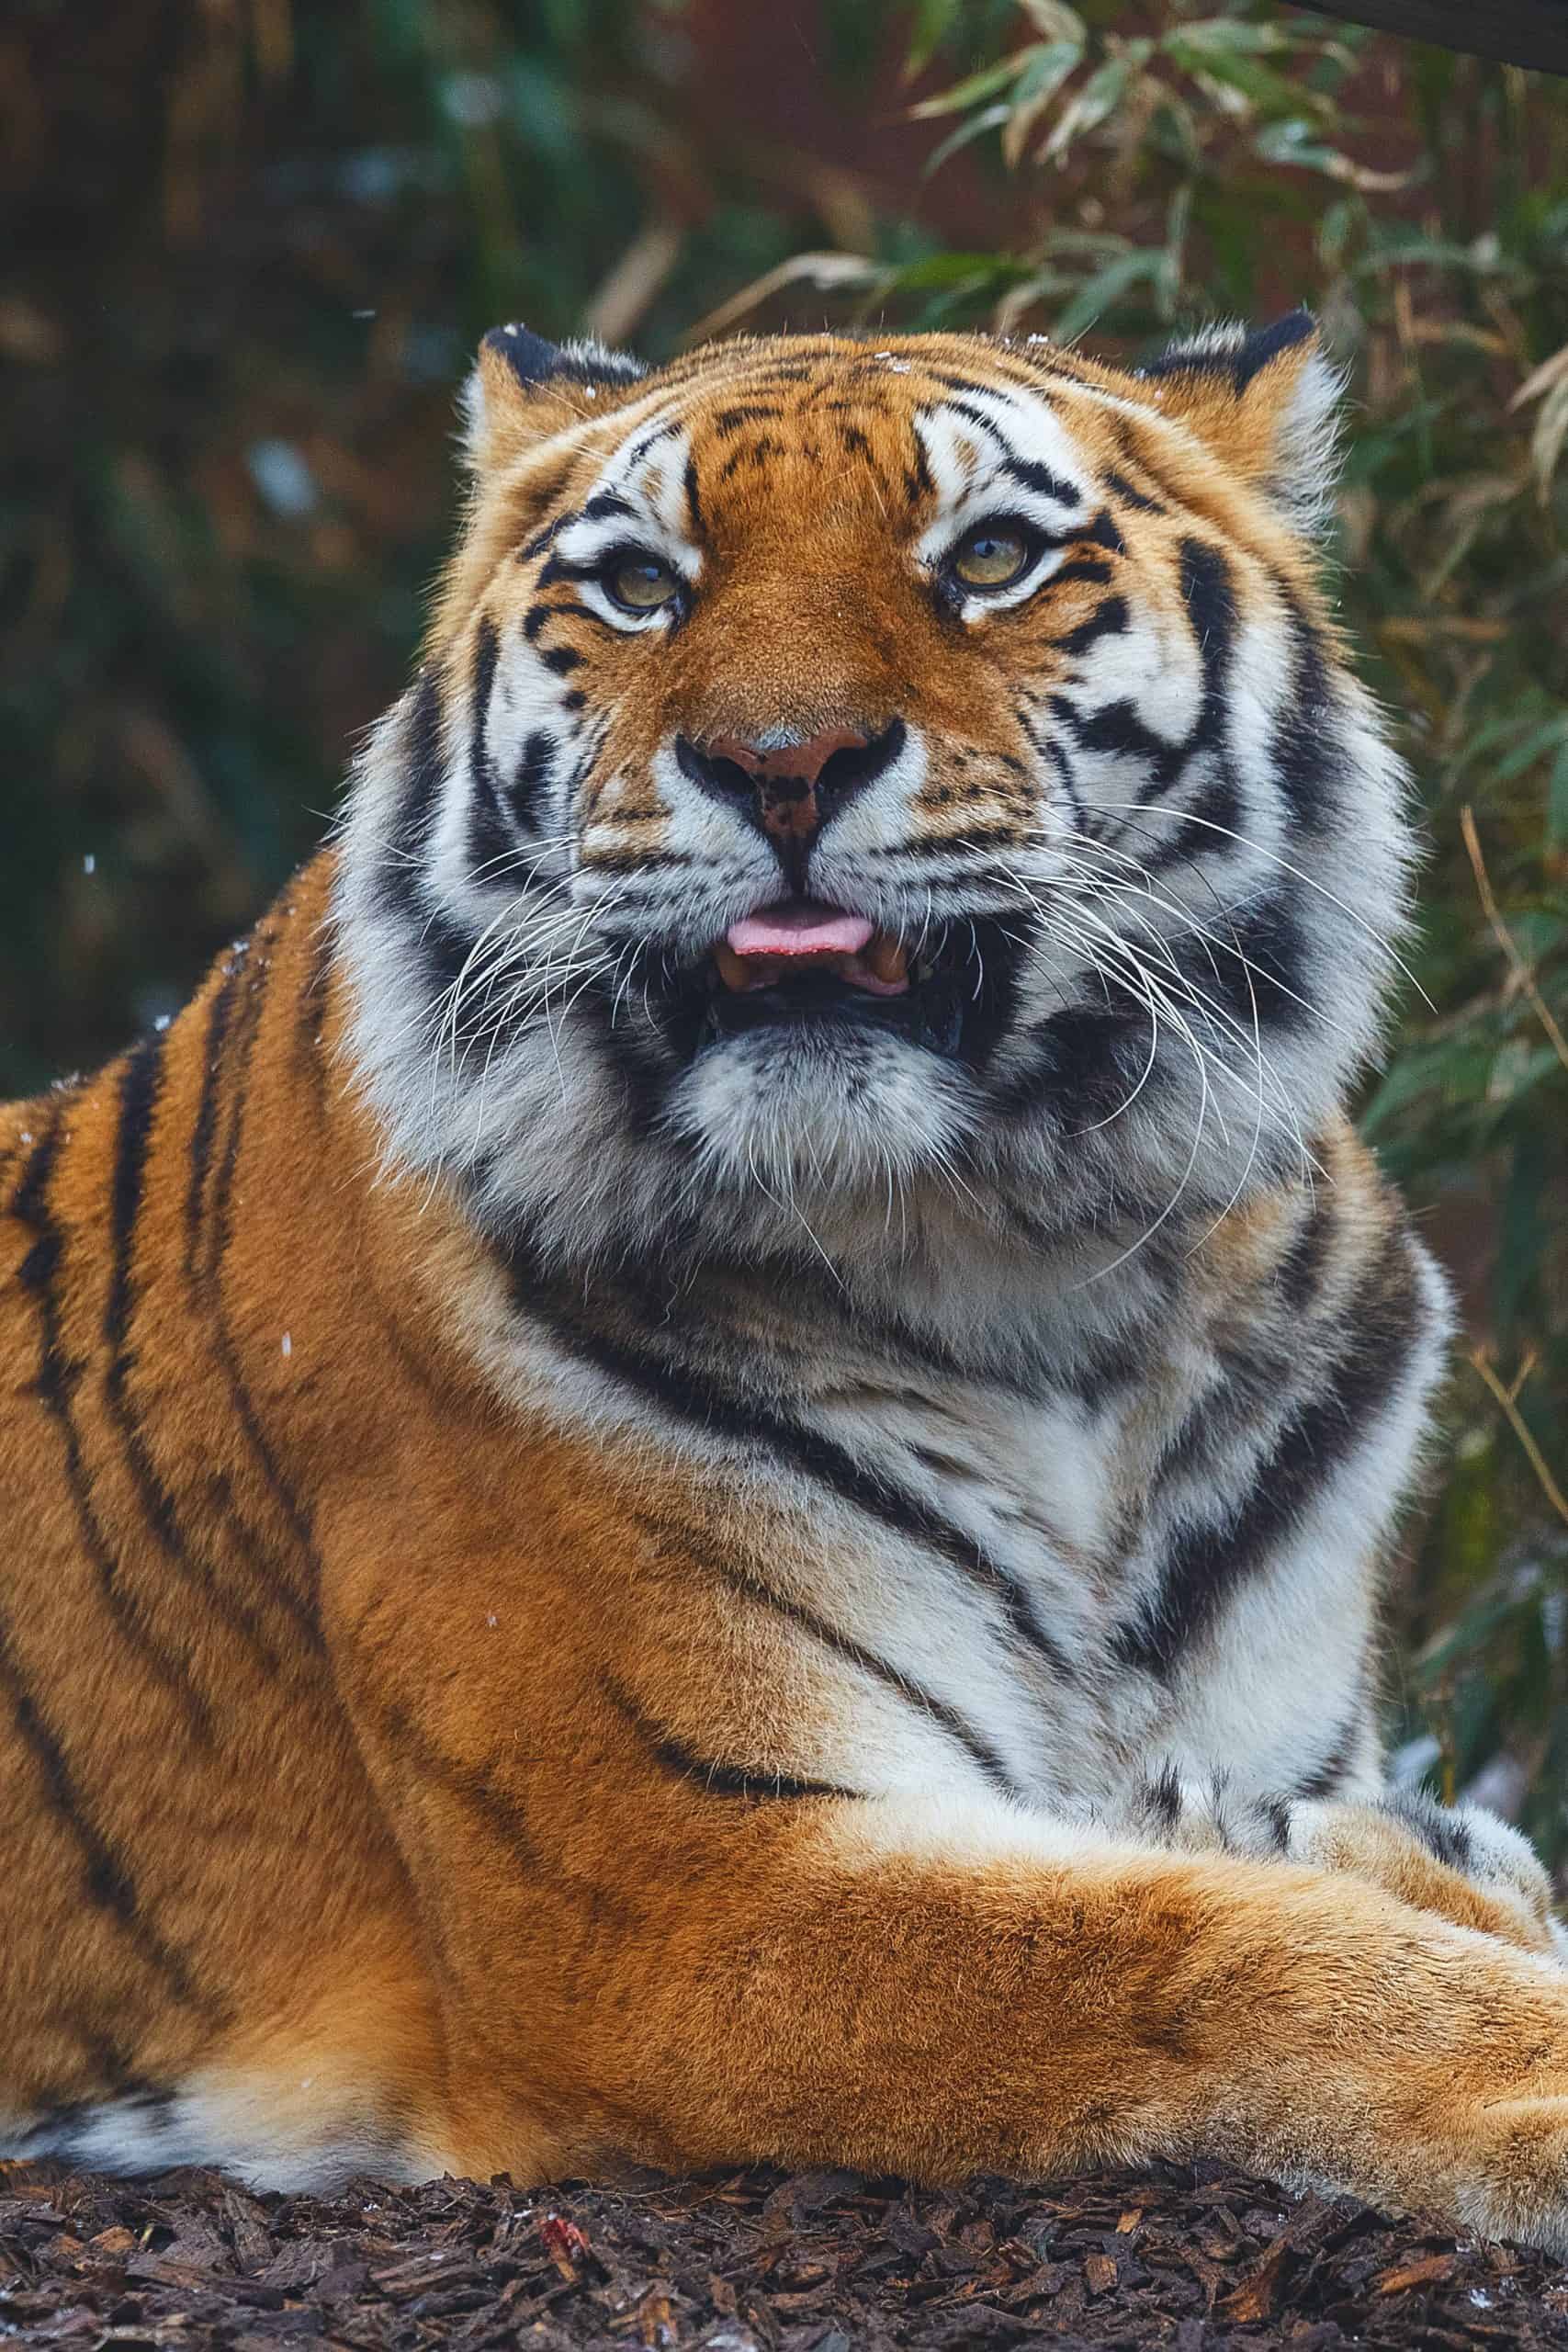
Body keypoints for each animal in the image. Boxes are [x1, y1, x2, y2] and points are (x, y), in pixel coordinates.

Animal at [4, 311, 1568, 2251]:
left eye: (989, 558)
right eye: (639, 585)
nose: (779, 761)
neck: (1025, 1273)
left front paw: (1416, 1854)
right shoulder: (683, 1889)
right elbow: (1223, 1950)